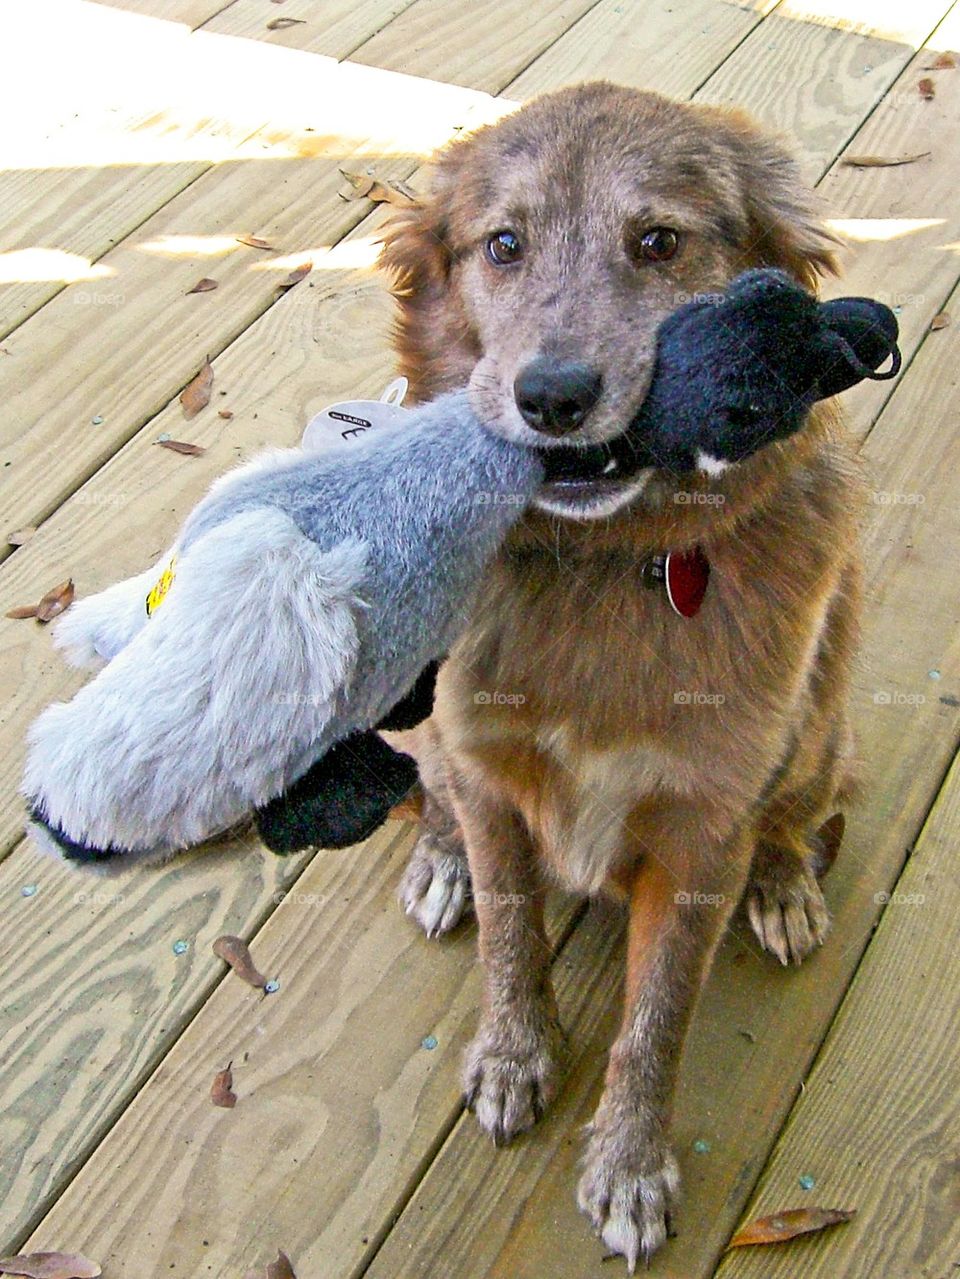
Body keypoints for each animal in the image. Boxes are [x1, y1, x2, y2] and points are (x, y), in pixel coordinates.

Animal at [378, 82, 859, 1268]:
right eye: (502, 245)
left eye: (658, 243)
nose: (553, 396)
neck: (606, 562)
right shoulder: (489, 771)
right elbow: (513, 936)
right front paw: (514, 1055)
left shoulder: (702, 828)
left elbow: (658, 1019)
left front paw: (631, 1165)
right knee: (432, 796)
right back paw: (438, 859)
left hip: (823, 719)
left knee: (801, 813)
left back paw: (787, 884)